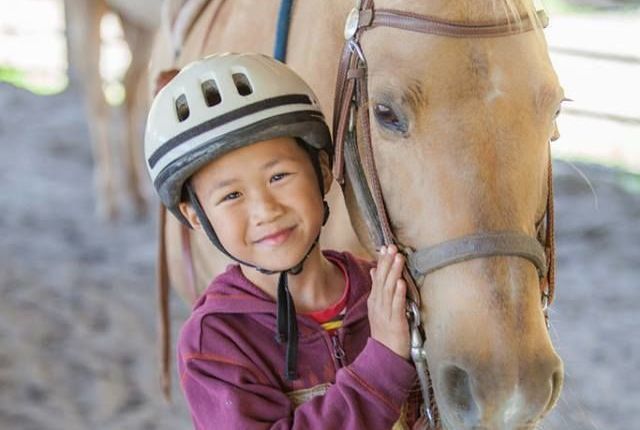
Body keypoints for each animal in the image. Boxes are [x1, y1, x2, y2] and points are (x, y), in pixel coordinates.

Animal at [63, 0, 161, 217]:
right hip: (88, 8)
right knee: (98, 98)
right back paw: (109, 201)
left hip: (136, 19)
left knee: (128, 88)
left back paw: (135, 192)